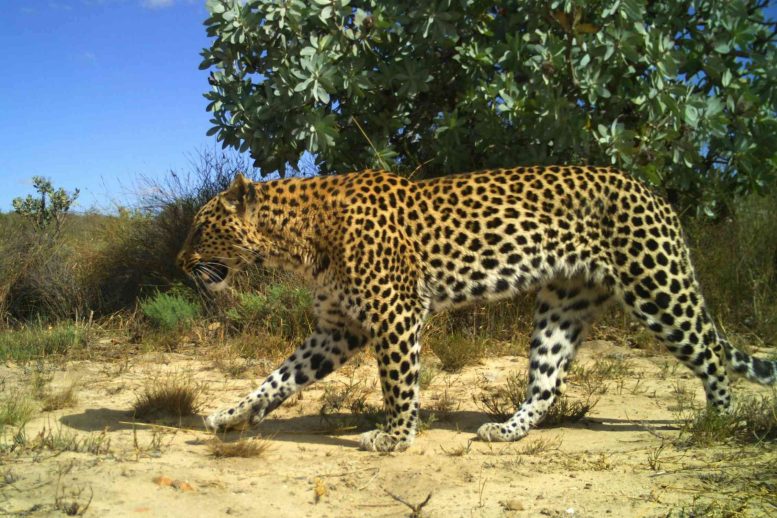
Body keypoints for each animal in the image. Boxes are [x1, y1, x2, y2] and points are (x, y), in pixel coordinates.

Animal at [177, 165, 776, 452]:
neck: (296, 241)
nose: (180, 261)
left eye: (202, 227)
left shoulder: (395, 314)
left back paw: (717, 423)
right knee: (547, 383)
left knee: (711, 355)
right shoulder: (338, 328)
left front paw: (395, 438)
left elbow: (399, 384)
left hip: (657, 288)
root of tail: (656, 194)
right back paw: (507, 431)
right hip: (562, 306)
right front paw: (232, 414)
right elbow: (279, 376)